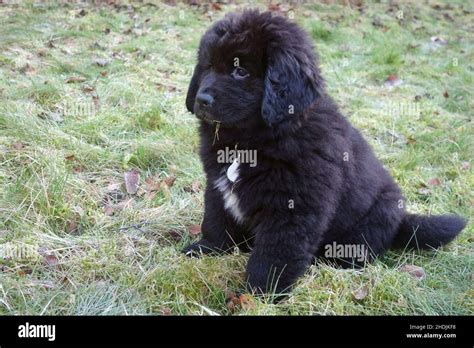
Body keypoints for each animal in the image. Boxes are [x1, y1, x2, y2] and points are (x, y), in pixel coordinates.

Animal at [182, 10, 466, 294]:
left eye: (240, 71)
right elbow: (216, 221)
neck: (249, 140)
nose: (201, 100)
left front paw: (258, 294)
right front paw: (207, 250)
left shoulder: (293, 207)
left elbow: (273, 255)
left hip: (378, 212)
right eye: (208, 66)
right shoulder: (217, 185)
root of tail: (401, 222)